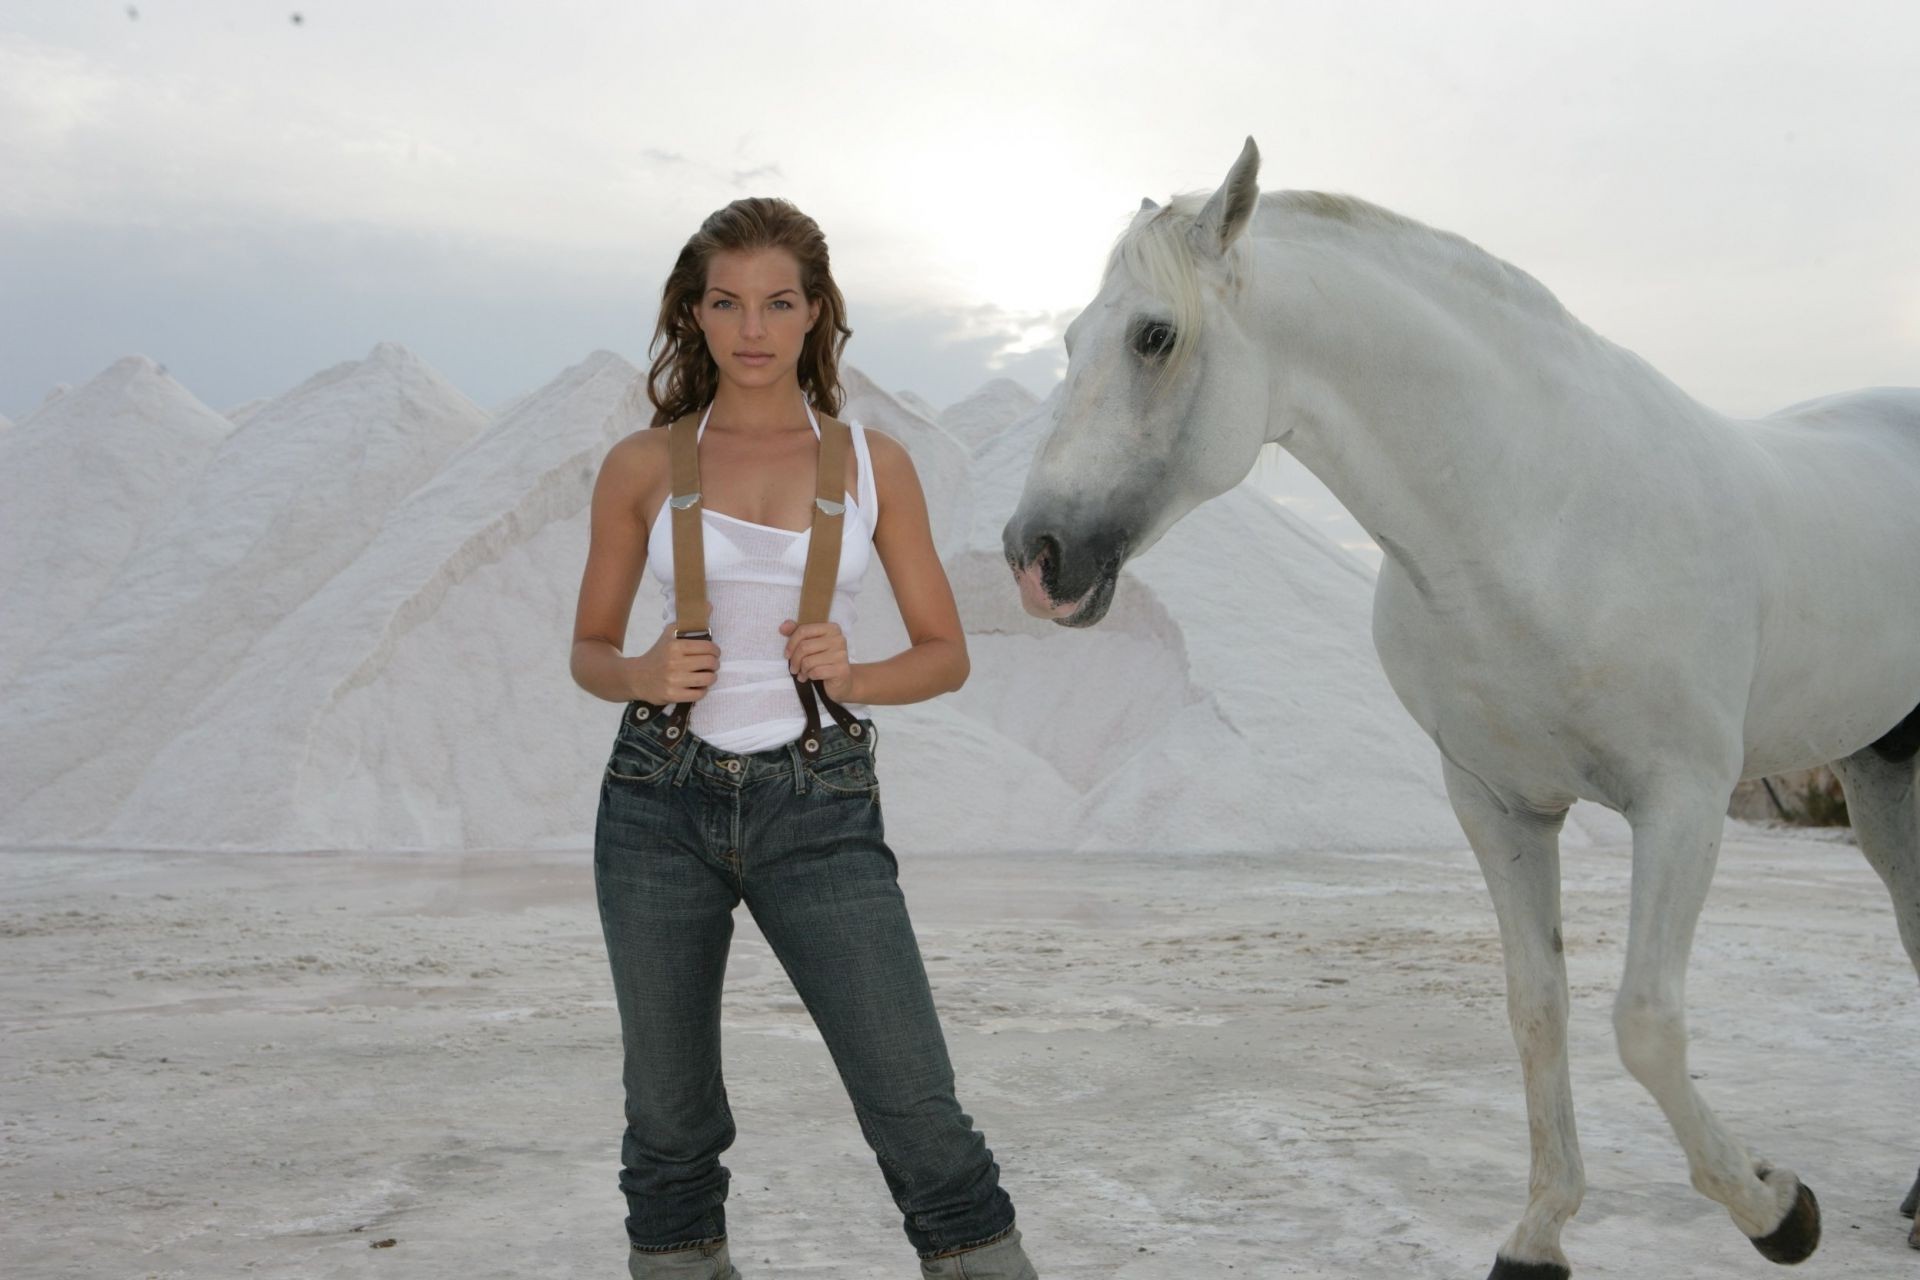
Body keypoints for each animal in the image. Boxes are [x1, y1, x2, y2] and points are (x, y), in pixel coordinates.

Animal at [1006, 135, 1920, 1274]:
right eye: (1072, 338)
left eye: (1153, 335)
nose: (1035, 555)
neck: (1538, 517)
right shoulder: (1497, 804)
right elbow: (1538, 1009)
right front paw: (1540, 1231)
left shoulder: (1683, 801)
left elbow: (1645, 1022)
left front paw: (1777, 1209)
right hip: (1883, 773)